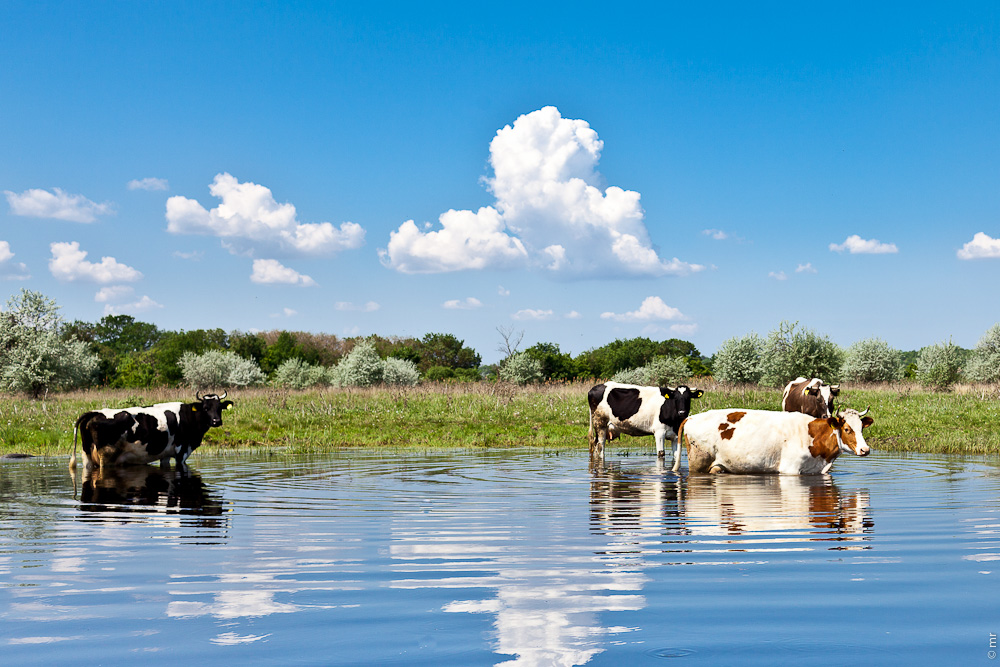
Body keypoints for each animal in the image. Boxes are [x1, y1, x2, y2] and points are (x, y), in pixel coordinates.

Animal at [71, 394, 234, 472]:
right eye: (206, 408)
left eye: (219, 407)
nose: (216, 421)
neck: (188, 416)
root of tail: (94, 412)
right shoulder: (182, 450)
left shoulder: (166, 454)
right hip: (106, 455)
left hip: (87, 454)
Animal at [676, 408, 872, 474]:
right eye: (847, 429)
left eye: (861, 428)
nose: (865, 449)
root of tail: (692, 417)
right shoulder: (790, 470)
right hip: (698, 462)